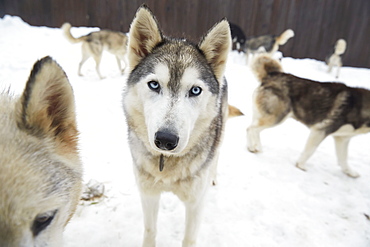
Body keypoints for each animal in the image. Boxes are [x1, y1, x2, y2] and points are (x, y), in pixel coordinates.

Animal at [123, 4, 230, 246]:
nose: (165, 139)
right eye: (154, 85)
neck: (167, 165)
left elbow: (188, 239)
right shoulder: (148, 194)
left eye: (195, 90)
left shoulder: (196, 203)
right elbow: (150, 230)